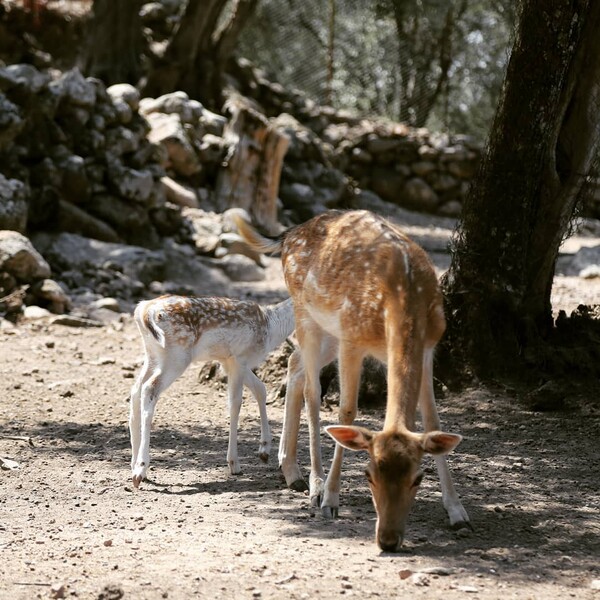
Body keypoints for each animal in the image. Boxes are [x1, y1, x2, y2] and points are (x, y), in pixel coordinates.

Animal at [130, 296, 294, 488]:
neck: (270, 326)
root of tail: (144, 310)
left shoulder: (228, 361)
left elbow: (261, 389)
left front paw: (264, 451)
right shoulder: (240, 357)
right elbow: (235, 403)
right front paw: (234, 464)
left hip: (153, 355)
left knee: (135, 390)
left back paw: (134, 465)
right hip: (177, 355)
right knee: (149, 389)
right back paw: (140, 470)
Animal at [237, 211, 472, 552]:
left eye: (418, 478)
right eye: (368, 473)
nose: (388, 540)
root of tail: (288, 234)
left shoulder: (428, 347)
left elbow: (432, 420)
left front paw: (457, 512)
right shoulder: (352, 339)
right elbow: (347, 411)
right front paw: (331, 500)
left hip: (327, 330)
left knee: (295, 366)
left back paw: (290, 470)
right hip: (306, 313)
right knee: (312, 389)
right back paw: (314, 486)